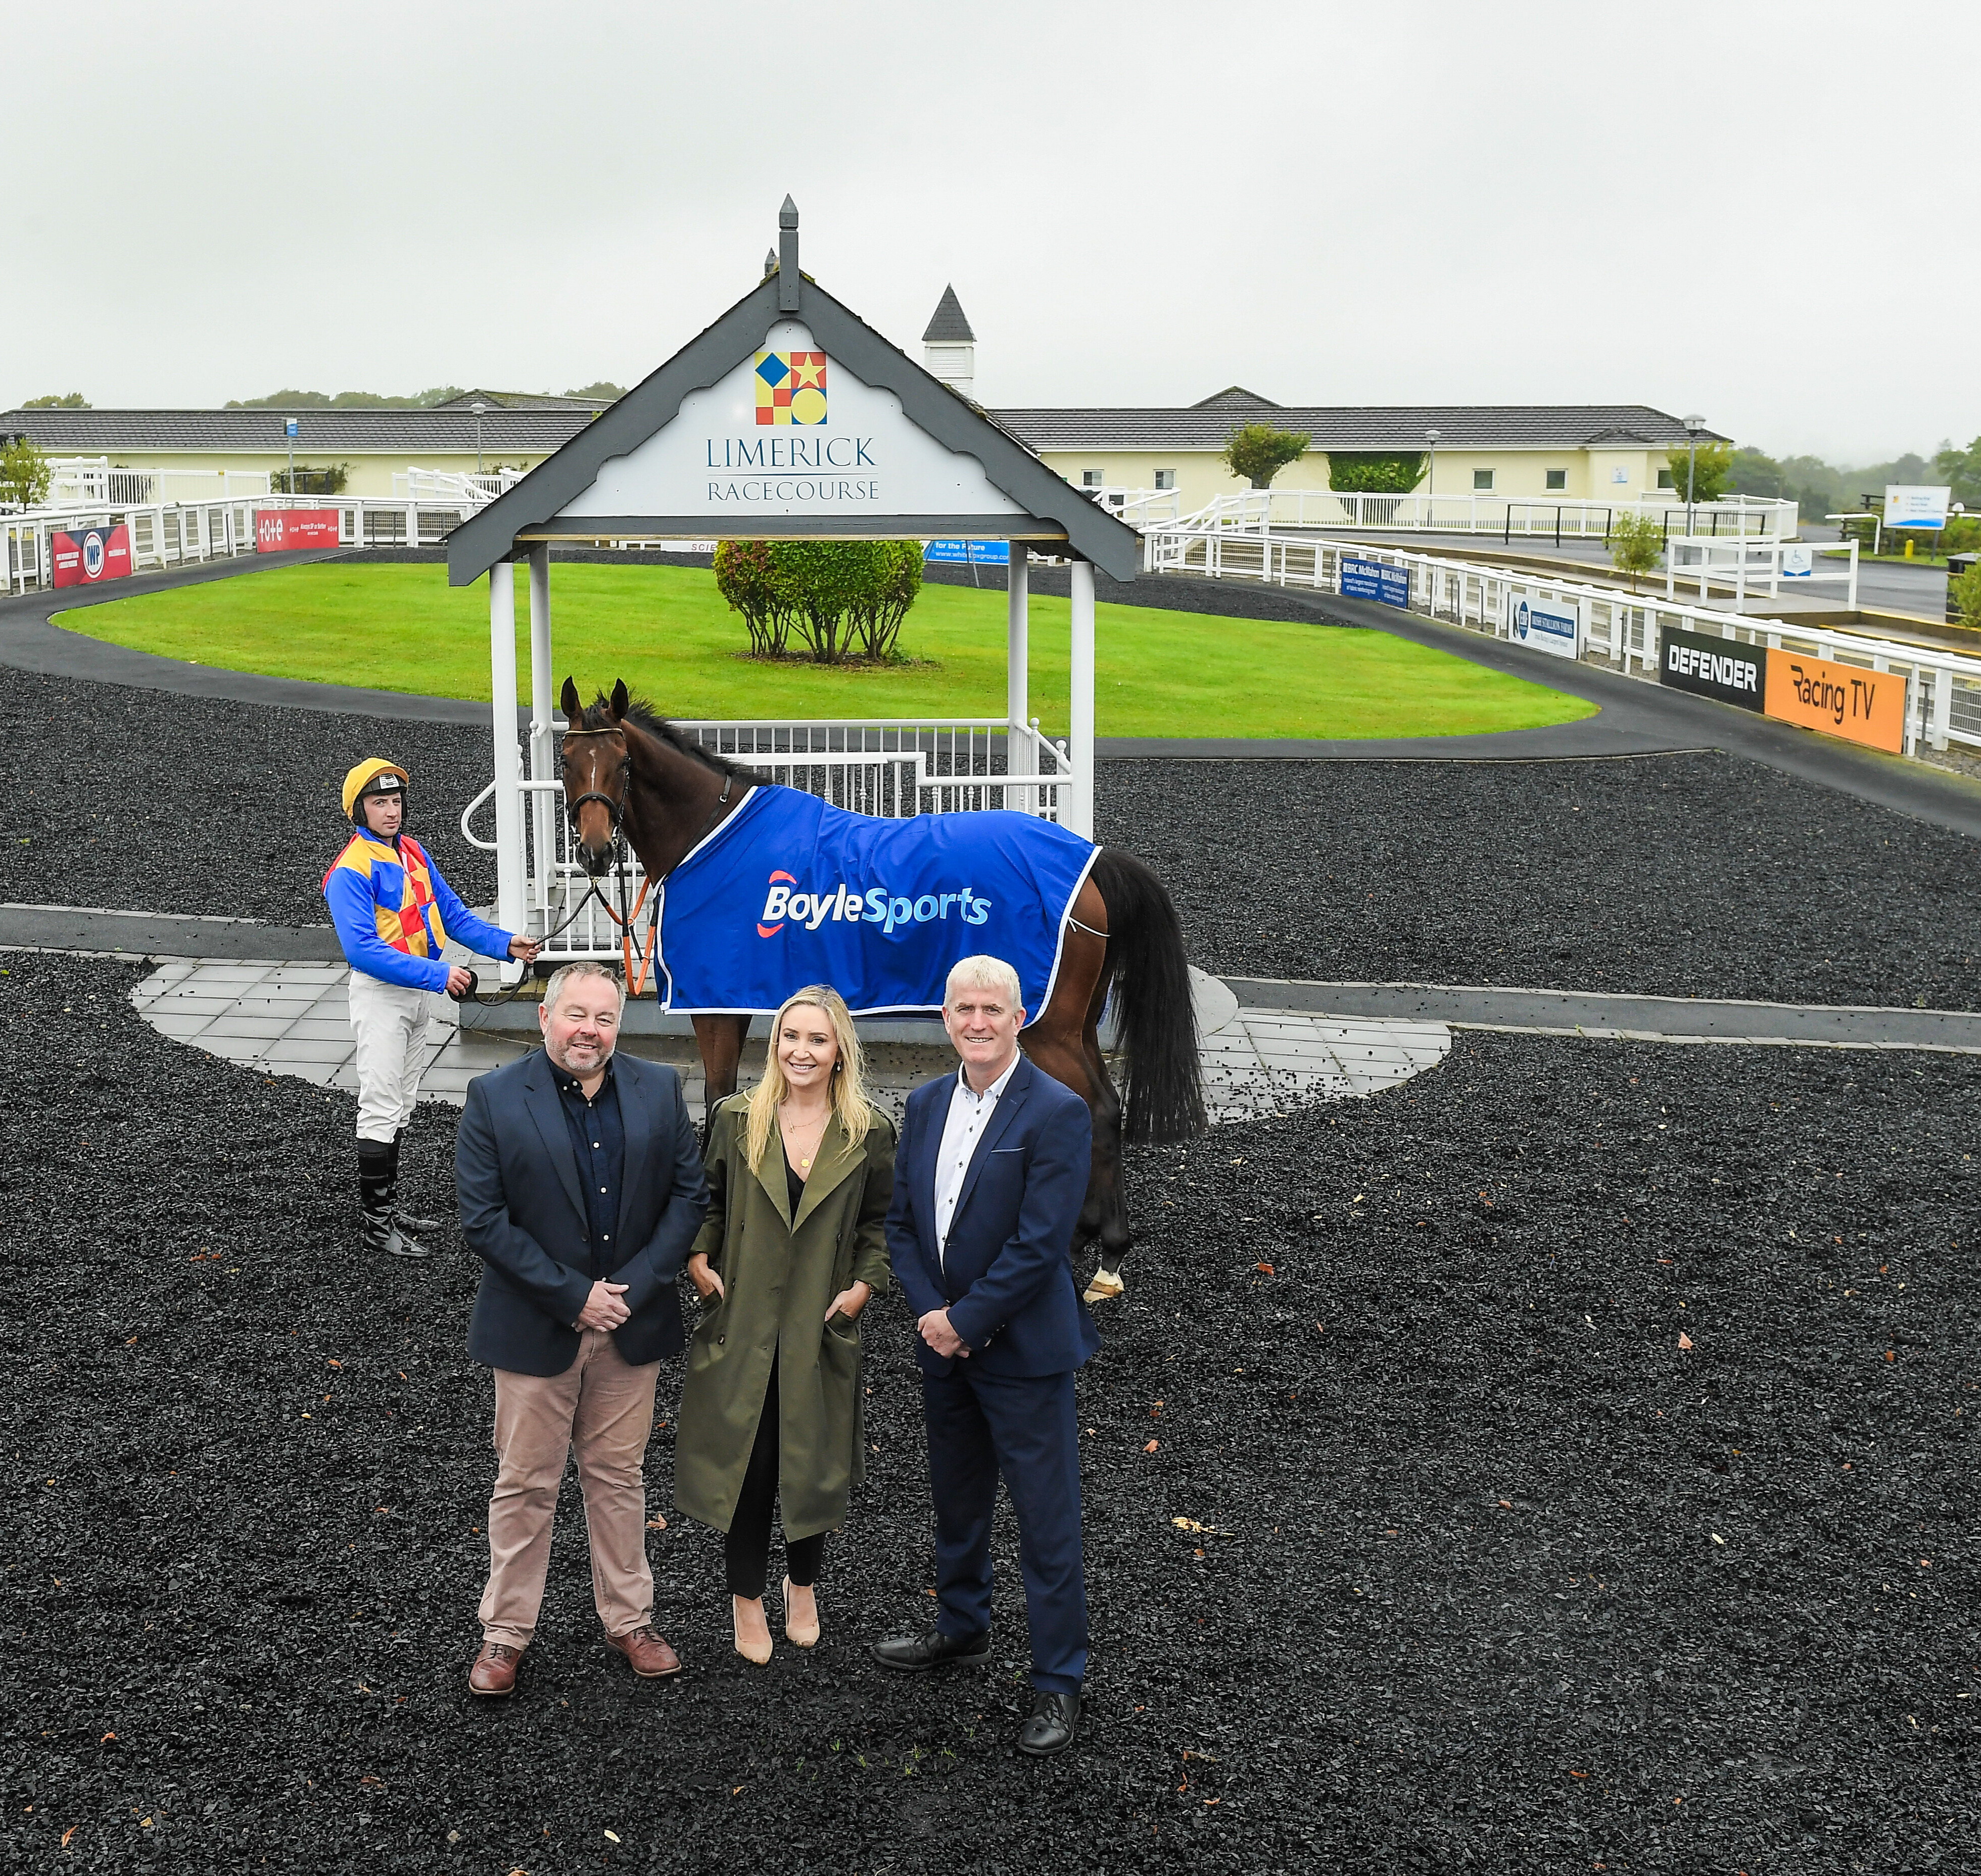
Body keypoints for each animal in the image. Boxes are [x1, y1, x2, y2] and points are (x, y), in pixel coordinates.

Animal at [558, 677, 1204, 1307]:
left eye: (621, 762)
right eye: (566, 760)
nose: (594, 850)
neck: (709, 835)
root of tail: (1090, 863)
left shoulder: (716, 1006)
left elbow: (717, 1103)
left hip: (1048, 1027)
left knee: (1099, 1108)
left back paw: (1103, 1253)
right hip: (1072, 1023)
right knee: (1097, 1107)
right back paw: (1090, 1240)